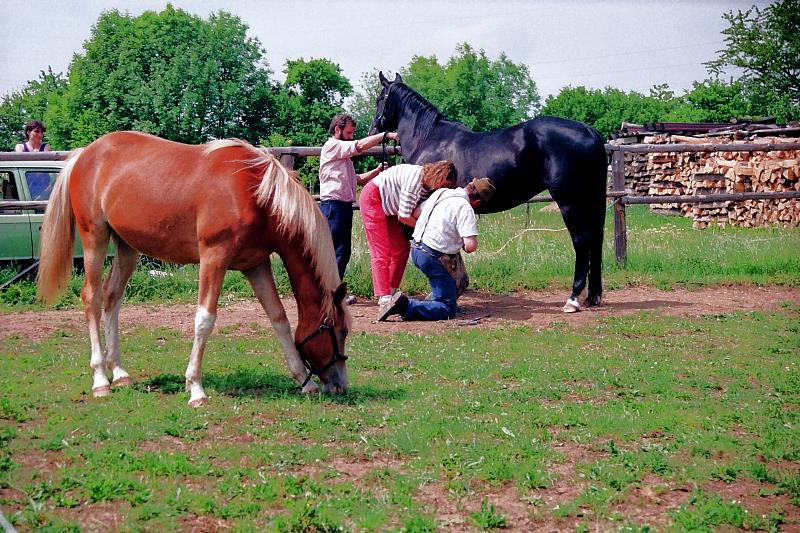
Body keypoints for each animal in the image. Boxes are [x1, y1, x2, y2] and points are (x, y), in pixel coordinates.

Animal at [37, 131, 350, 406]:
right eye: (342, 332)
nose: (340, 386)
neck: (256, 193)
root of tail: (84, 154)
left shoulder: (256, 265)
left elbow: (279, 318)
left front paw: (305, 382)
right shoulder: (214, 257)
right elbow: (205, 319)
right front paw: (196, 389)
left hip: (127, 246)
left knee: (112, 297)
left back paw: (120, 373)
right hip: (95, 237)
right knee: (92, 297)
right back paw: (101, 380)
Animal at [368, 72, 608, 310]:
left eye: (379, 99)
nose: (372, 130)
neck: (428, 139)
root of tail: (591, 132)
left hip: (570, 201)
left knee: (581, 241)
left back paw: (573, 298)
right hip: (591, 200)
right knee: (595, 239)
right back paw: (592, 296)